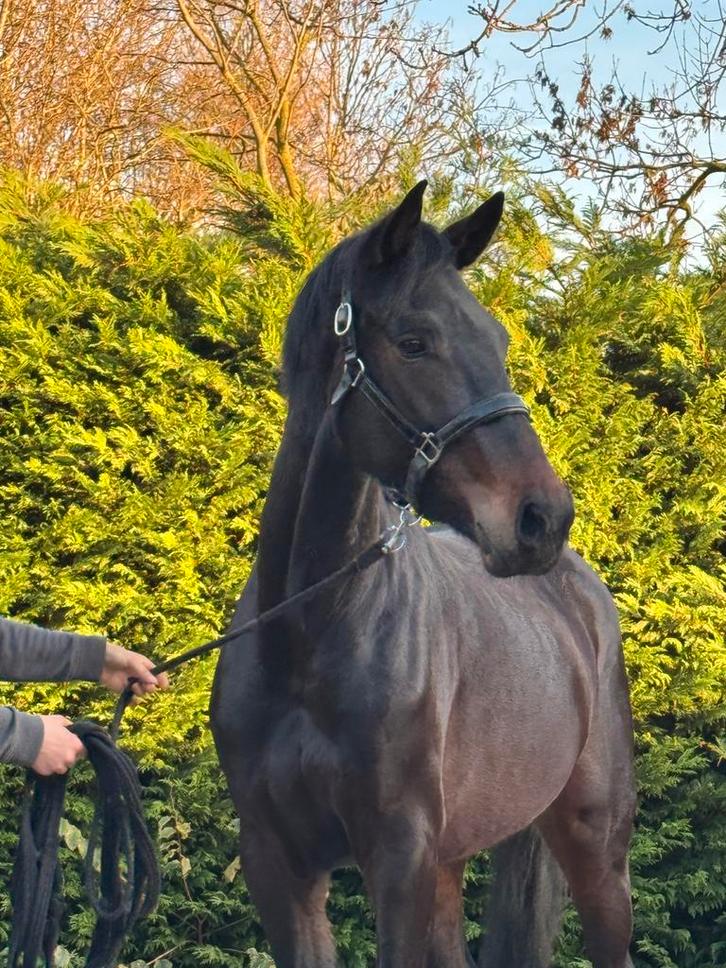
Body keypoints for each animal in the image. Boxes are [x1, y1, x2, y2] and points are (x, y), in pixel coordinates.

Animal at [210, 181, 636, 968]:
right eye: (414, 342)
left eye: (498, 341)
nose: (542, 518)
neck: (309, 635)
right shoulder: (279, 868)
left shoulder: (399, 859)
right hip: (453, 860)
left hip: (595, 845)